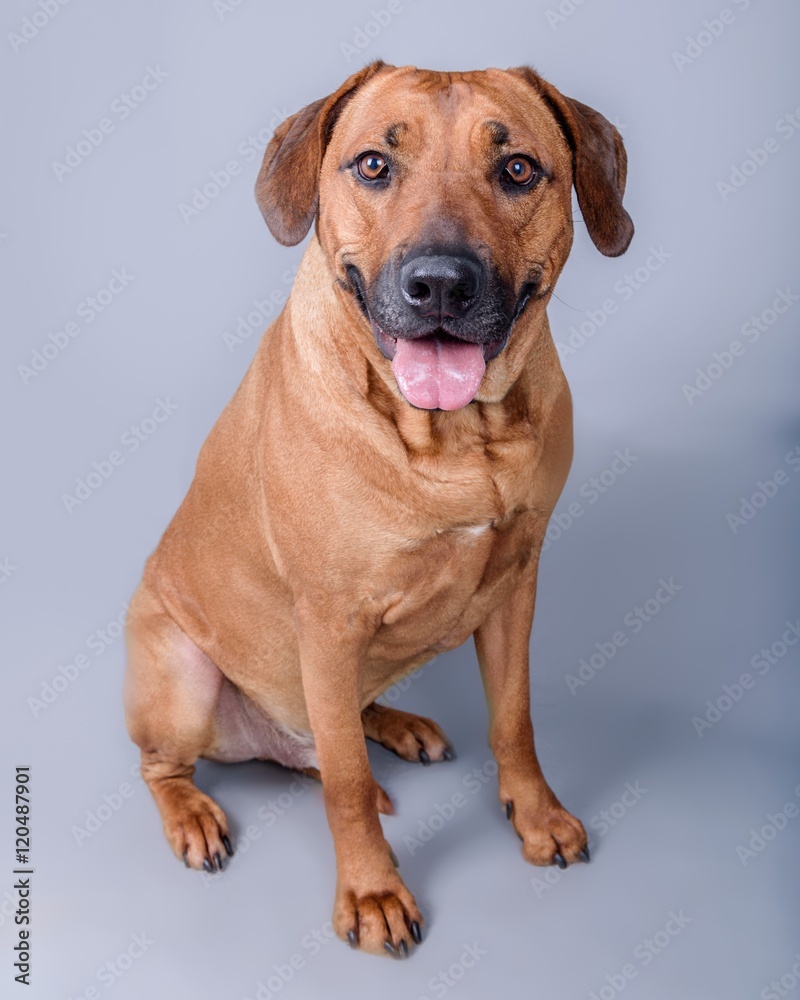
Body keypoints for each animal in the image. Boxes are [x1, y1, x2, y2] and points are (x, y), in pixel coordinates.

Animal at [123, 58, 632, 956]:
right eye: (372, 165)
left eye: (517, 168)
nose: (440, 283)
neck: (453, 435)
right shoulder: (329, 621)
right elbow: (349, 788)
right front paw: (371, 891)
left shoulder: (517, 586)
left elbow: (515, 720)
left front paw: (536, 817)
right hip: (182, 676)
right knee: (181, 764)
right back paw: (192, 816)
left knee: (342, 729)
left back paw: (396, 723)